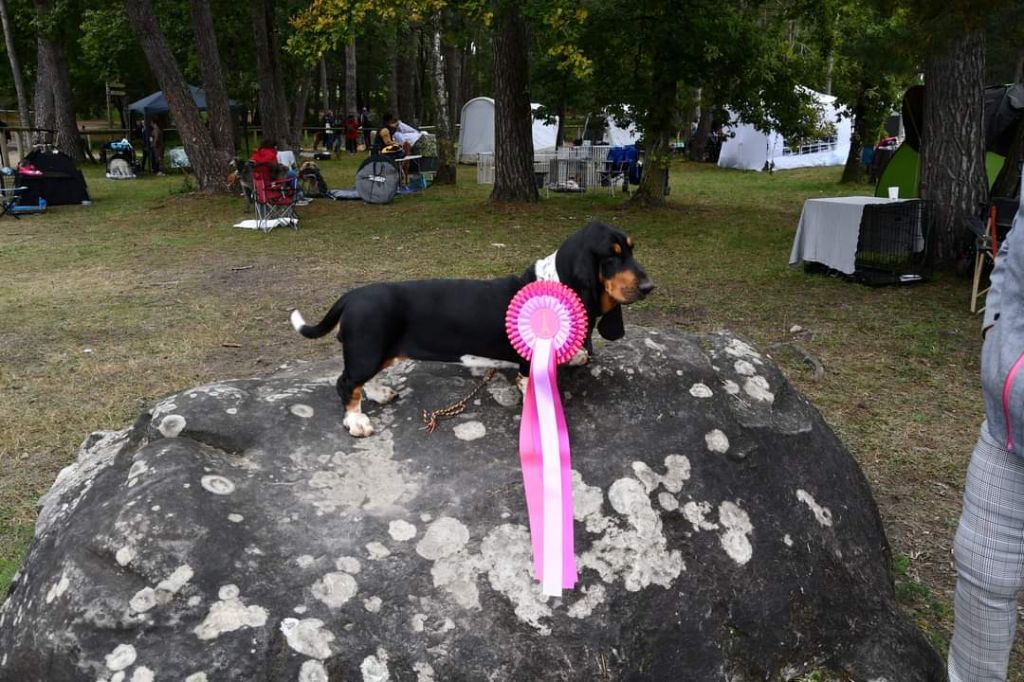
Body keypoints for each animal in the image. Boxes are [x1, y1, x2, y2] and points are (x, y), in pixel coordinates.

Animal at [292, 223, 651, 436]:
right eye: (611, 257)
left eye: (632, 249)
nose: (649, 287)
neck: (556, 283)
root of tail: (351, 296)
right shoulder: (528, 365)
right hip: (368, 350)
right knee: (346, 383)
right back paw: (357, 421)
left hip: (379, 352)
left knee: (363, 379)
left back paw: (380, 393)